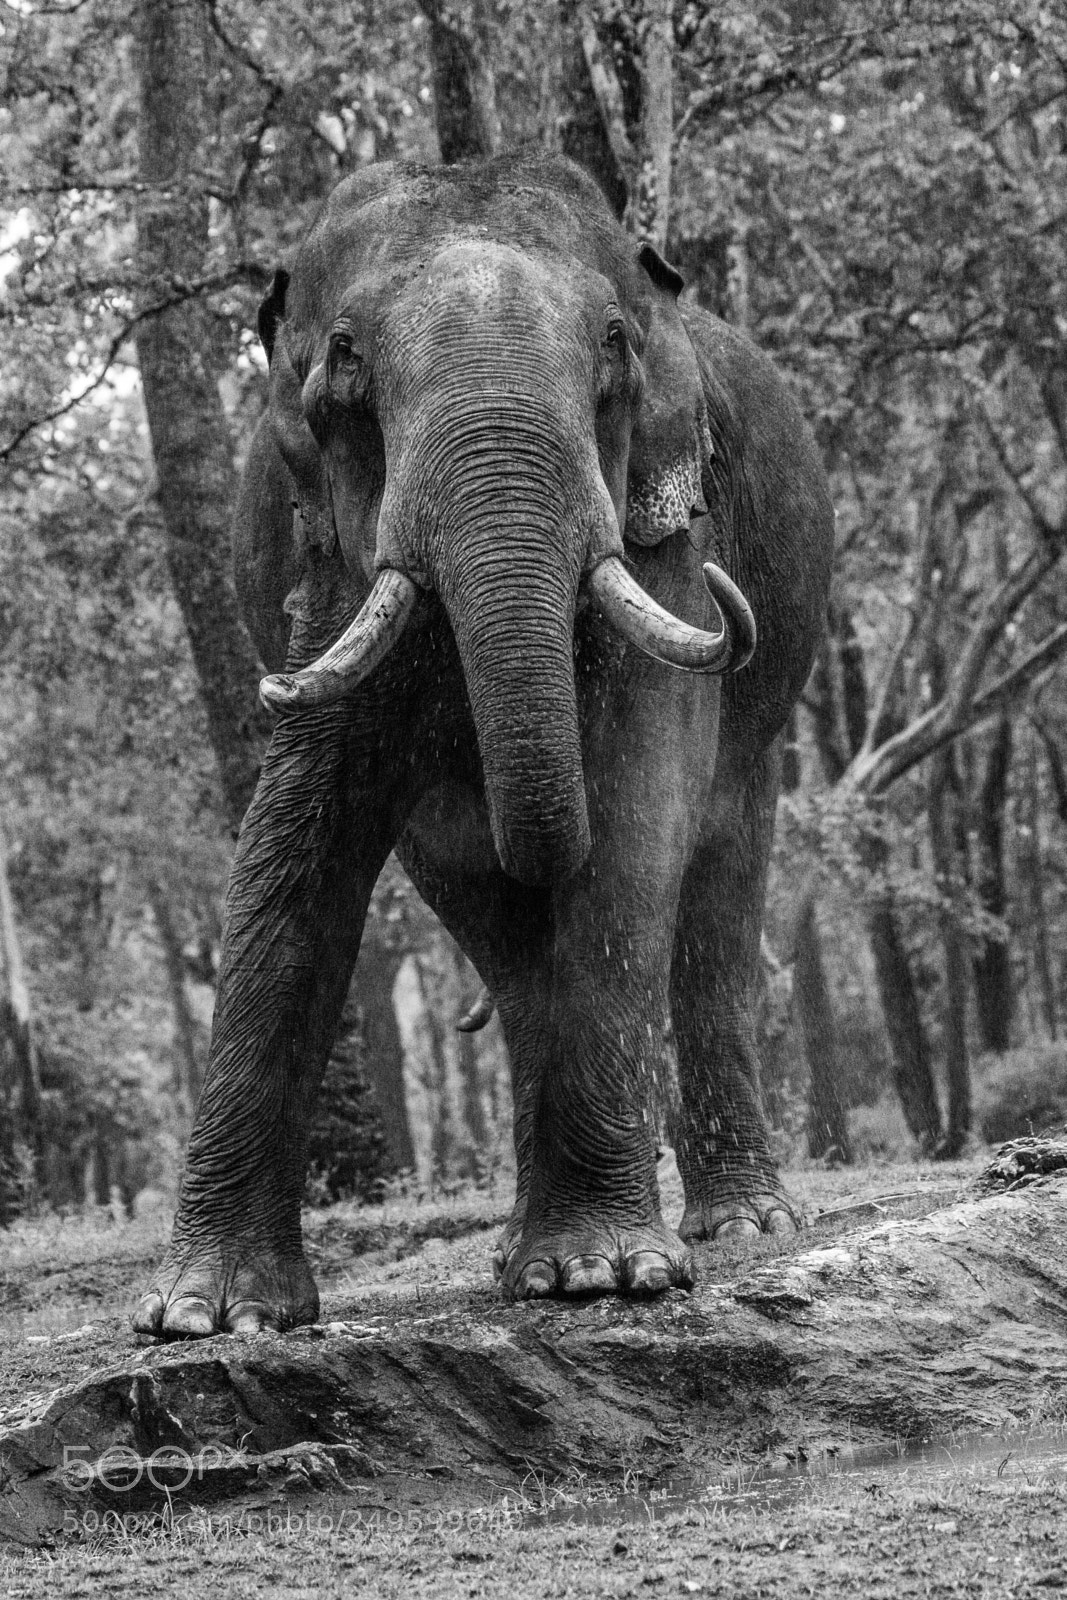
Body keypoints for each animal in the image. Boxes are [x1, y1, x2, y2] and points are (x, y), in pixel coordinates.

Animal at [133, 152, 833, 1337]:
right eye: (346, 357)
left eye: (612, 343)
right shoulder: (325, 565)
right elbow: (296, 830)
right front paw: (207, 1316)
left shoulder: (672, 542)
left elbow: (639, 801)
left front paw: (604, 1273)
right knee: (491, 930)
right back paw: (517, 1246)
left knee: (718, 884)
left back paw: (740, 1226)